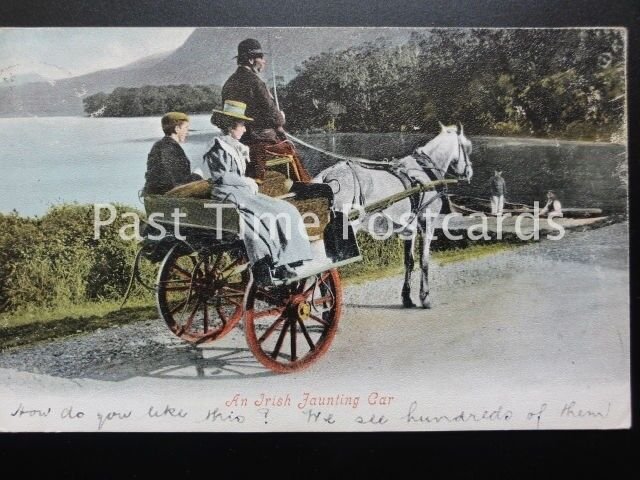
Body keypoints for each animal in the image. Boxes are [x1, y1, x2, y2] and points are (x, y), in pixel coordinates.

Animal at [312, 121, 472, 308]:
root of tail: (327, 176)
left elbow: (409, 262)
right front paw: (425, 297)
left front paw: (407, 297)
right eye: (467, 147)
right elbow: (424, 261)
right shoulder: (427, 224)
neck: (424, 171)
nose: (469, 172)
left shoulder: (409, 230)